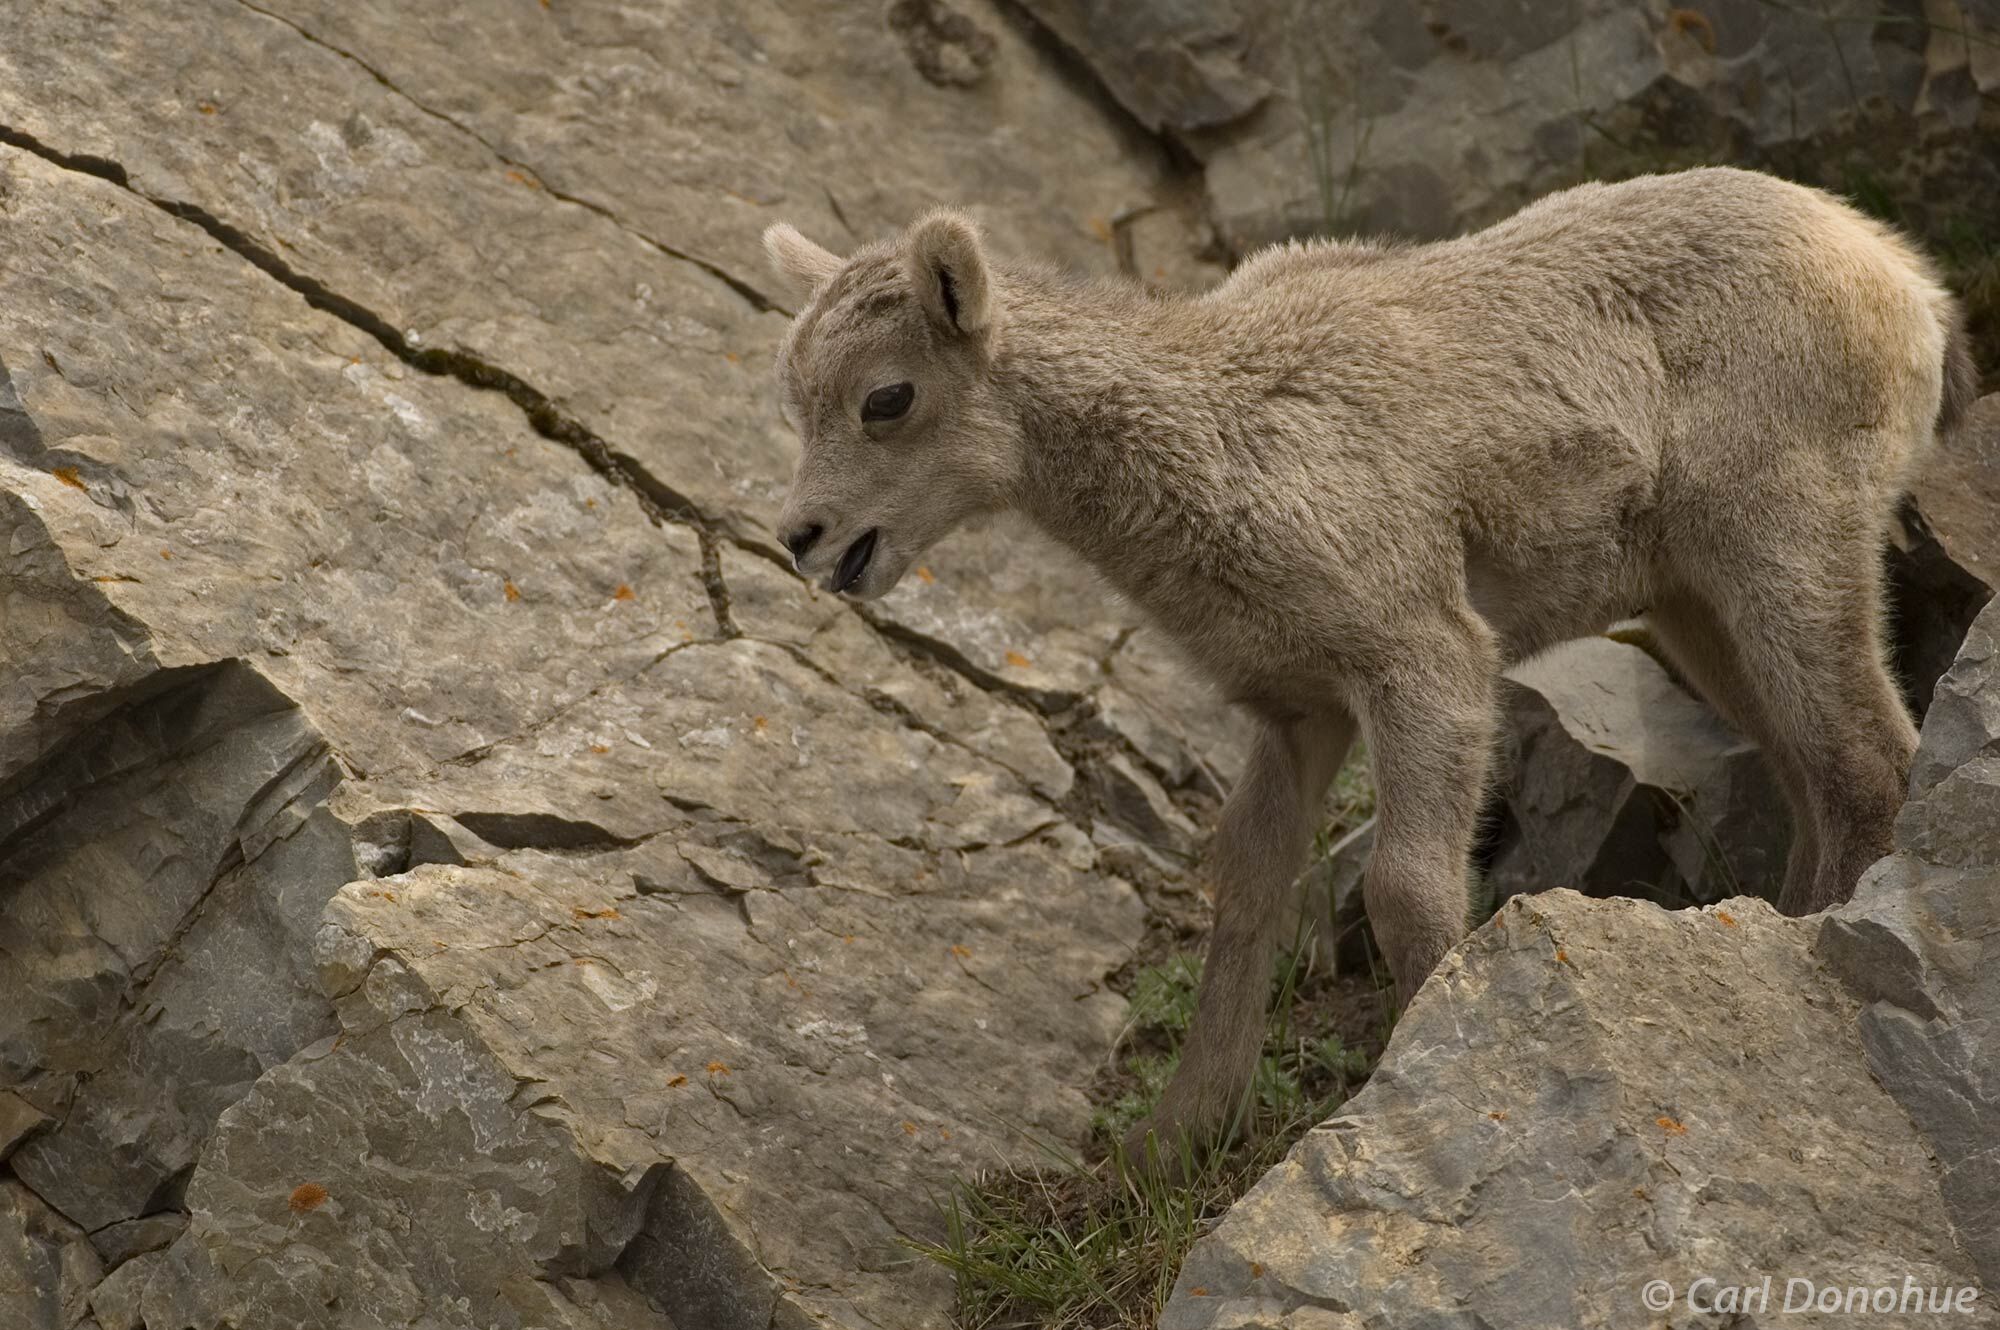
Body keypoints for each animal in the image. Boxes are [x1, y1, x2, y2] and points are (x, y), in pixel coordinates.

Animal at [756, 171, 1976, 1160]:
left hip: (1781, 544)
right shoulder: (1297, 711)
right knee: (1811, 777)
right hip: (1692, 606)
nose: (805, 538)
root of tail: (1905, 282)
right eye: (795, 397)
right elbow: (1249, 889)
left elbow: (1405, 890)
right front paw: (1172, 1145)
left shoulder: (1424, 662)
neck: (1215, 447)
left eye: (886, 396)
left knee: (1866, 761)